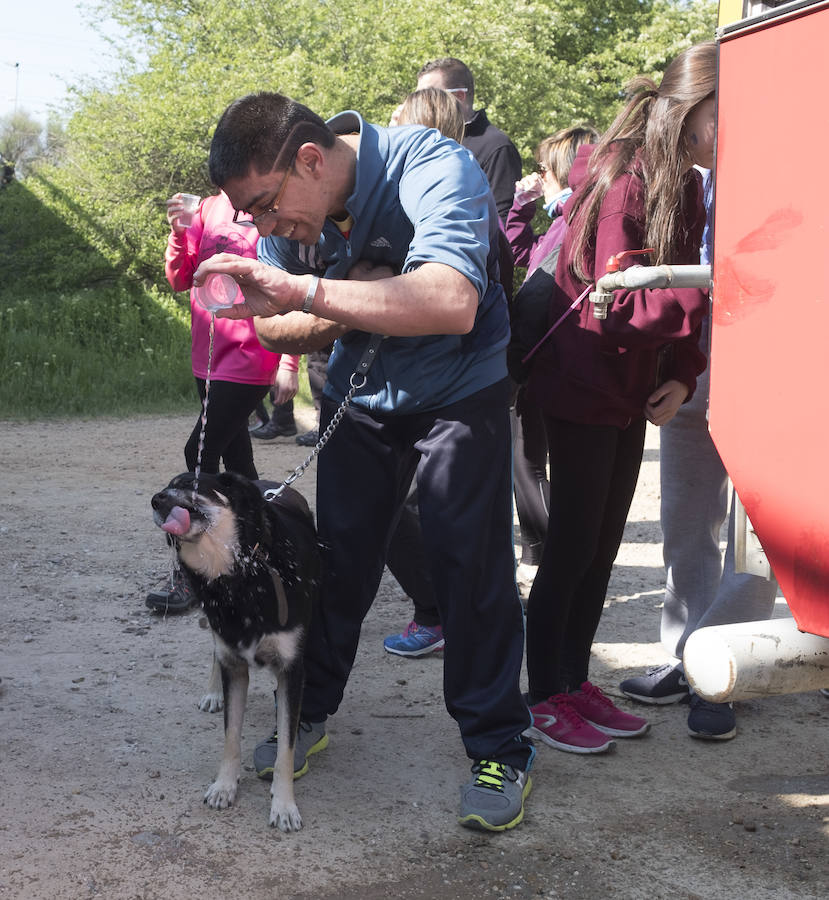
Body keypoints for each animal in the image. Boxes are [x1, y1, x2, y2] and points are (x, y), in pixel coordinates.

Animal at [150, 472, 318, 828]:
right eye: (167, 485)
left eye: (190, 482)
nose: (156, 500)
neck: (240, 574)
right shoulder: (235, 667)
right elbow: (231, 734)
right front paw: (224, 786)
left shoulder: (292, 670)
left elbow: (286, 747)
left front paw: (284, 805)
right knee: (217, 651)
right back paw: (213, 693)